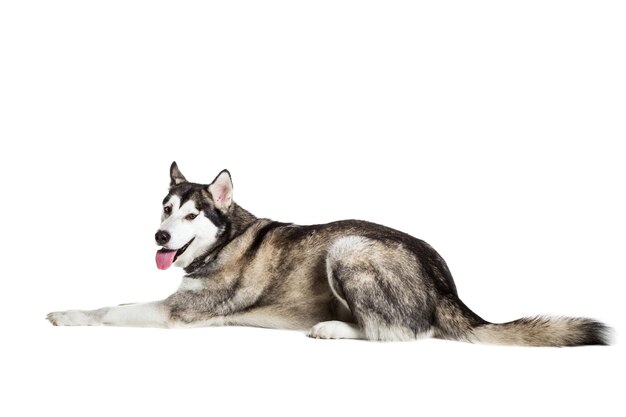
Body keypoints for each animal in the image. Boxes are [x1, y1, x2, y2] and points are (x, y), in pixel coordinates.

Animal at [47, 162, 608, 344]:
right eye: (165, 209)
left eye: (191, 216)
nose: (160, 238)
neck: (224, 238)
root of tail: (444, 280)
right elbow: (117, 300)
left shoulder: (176, 313)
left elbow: (110, 311)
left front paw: (67, 315)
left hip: (348, 247)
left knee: (400, 331)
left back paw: (334, 328)